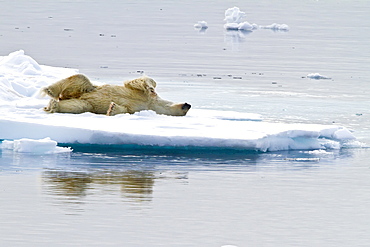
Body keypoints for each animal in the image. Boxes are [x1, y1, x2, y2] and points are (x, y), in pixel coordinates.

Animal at [42, 74, 192, 116]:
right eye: (185, 108)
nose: (188, 104)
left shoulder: (136, 109)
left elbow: (124, 109)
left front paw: (112, 108)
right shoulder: (150, 98)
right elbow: (142, 82)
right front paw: (150, 87)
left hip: (84, 101)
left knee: (79, 105)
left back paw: (53, 105)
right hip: (89, 89)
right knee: (81, 79)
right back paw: (50, 90)